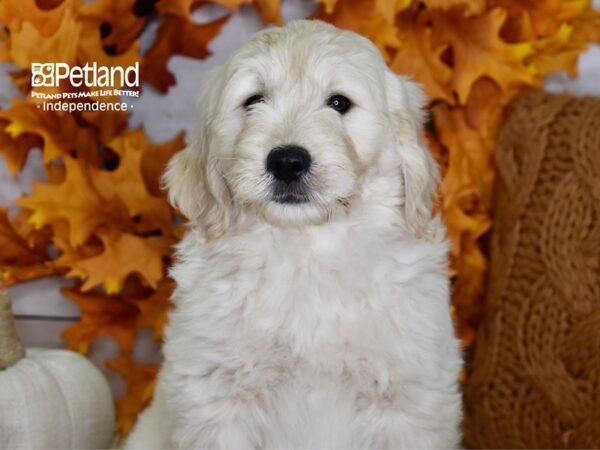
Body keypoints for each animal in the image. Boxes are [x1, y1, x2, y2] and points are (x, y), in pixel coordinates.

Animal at [125, 19, 464, 448]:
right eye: (253, 100)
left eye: (339, 103)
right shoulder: (219, 397)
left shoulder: (408, 398)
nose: (287, 161)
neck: (305, 250)